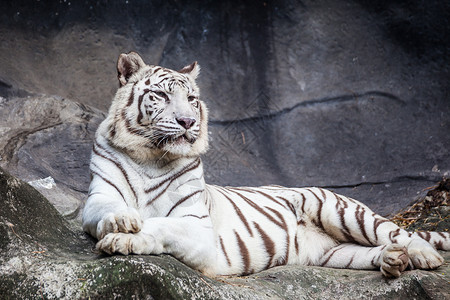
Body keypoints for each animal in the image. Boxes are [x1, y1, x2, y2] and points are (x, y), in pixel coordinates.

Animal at [82, 51, 448, 276]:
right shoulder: (98, 197)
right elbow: (107, 211)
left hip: (343, 211)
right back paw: (392, 261)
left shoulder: (197, 227)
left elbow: (161, 225)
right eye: (160, 95)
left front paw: (124, 238)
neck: (151, 155)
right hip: (335, 253)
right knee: (372, 249)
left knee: (398, 232)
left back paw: (421, 255)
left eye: (191, 99)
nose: (188, 122)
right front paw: (120, 222)